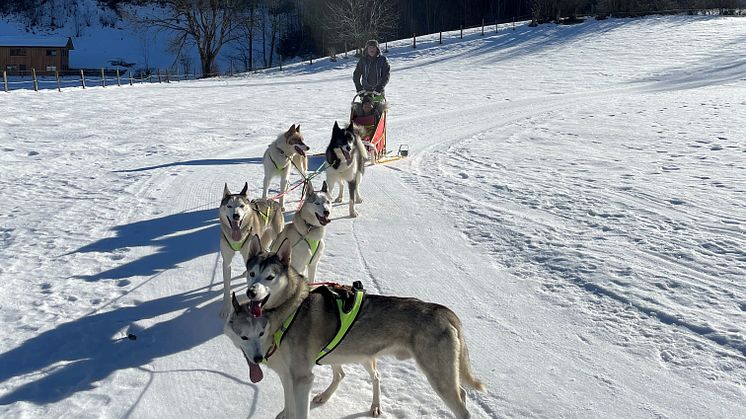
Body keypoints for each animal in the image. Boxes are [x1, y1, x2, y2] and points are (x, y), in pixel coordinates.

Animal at [218, 184, 282, 318]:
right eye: (229, 206)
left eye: (242, 206)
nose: (236, 216)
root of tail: (274, 202)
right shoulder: (226, 262)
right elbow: (226, 287)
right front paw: (226, 308)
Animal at [235, 238, 486, 418]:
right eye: (252, 274)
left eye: (270, 277)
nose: (251, 292)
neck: (292, 305)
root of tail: (444, 311)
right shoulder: (289, 373)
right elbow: (289, 405)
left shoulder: (302, 377)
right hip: (355, 354)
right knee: (360, 375)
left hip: (439, 377)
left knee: (462, 406)